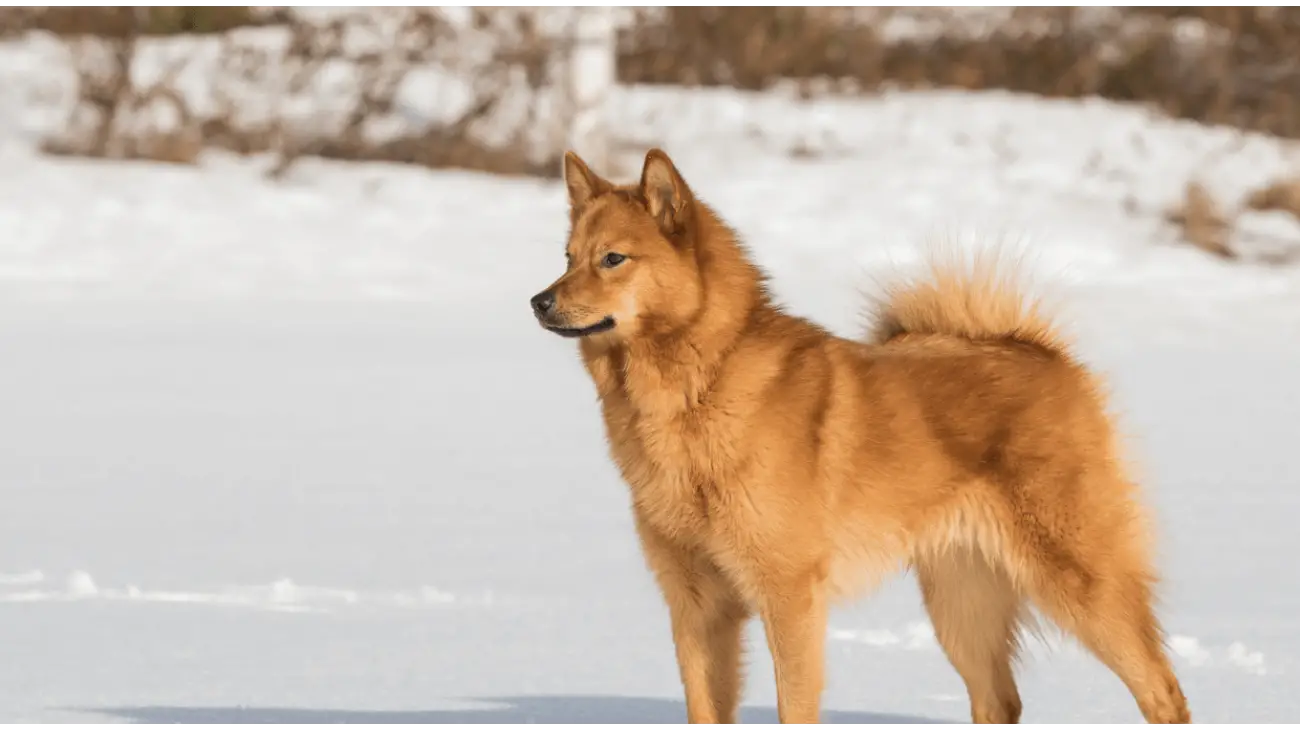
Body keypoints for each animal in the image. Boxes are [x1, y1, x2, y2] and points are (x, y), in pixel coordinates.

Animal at [527, 146, 1190, 722]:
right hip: (961, 604)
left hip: (1080, 583)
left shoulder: (789, 598)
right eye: (567, 255)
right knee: (998, 702)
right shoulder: (696, 606)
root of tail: (1043, 355)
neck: (699, 386)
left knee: (1163, 692)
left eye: (613, 259)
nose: (538, 301)